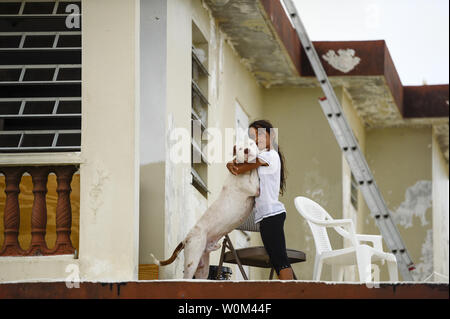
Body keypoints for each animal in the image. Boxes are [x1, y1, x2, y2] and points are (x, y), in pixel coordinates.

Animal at [149, 139, 258, 278]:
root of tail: (185, 238)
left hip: (203, 268)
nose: (246, 151)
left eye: (251, 144)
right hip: (192, 262)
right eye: (239, 148)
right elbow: (256, 174)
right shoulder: (254, 187)